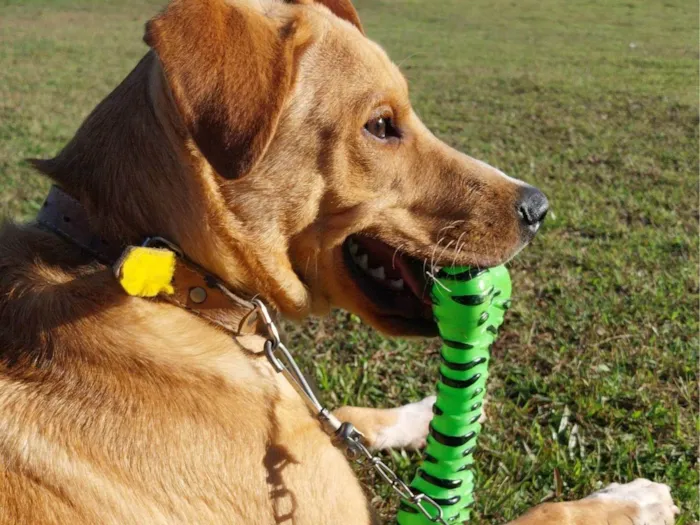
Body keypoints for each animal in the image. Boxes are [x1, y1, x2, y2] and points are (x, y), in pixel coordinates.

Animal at [0, 1, 680, 524]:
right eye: (381, 126)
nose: (539, 208)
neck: (180, 283)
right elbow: (551, 513)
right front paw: (632, 500)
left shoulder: (303, 429)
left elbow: (344, 415)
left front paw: (421, 413)